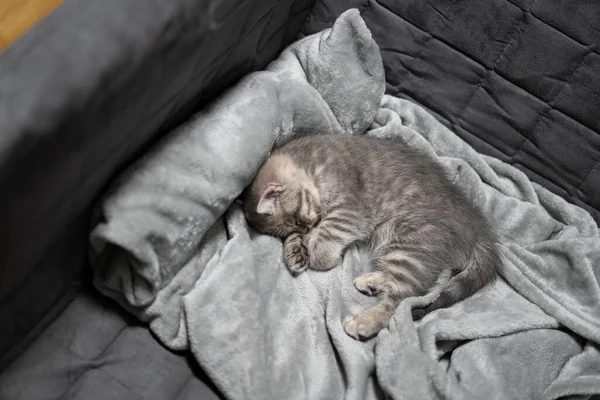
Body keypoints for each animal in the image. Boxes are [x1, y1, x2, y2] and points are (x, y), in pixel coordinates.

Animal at [241, 134, 500, 340]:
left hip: (411, 245)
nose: (308, 226)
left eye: (298, 217)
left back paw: (364, 321)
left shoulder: (351, 211)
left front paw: (318, 254)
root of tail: (476, 226)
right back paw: (372, 282)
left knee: (400, 301)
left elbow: (327, 237)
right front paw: (295, 250)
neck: (311, 163)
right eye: (295, 226)